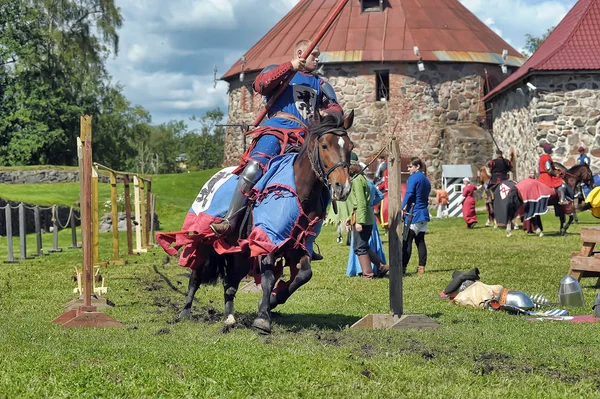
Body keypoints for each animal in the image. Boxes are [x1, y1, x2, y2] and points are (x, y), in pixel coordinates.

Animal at [171, 110, 354, 334]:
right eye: (325, 145)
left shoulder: (298, 245)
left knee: (230, 282)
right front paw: (263, 318)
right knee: (196, 273)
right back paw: (186, 311)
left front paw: (272, 301)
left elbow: (303, 275)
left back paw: (229, 317)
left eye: (350, 146)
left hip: (239, 252)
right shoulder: (266, 239)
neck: (300, 190)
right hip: (206, 238)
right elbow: (268, 278)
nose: (342, 187)